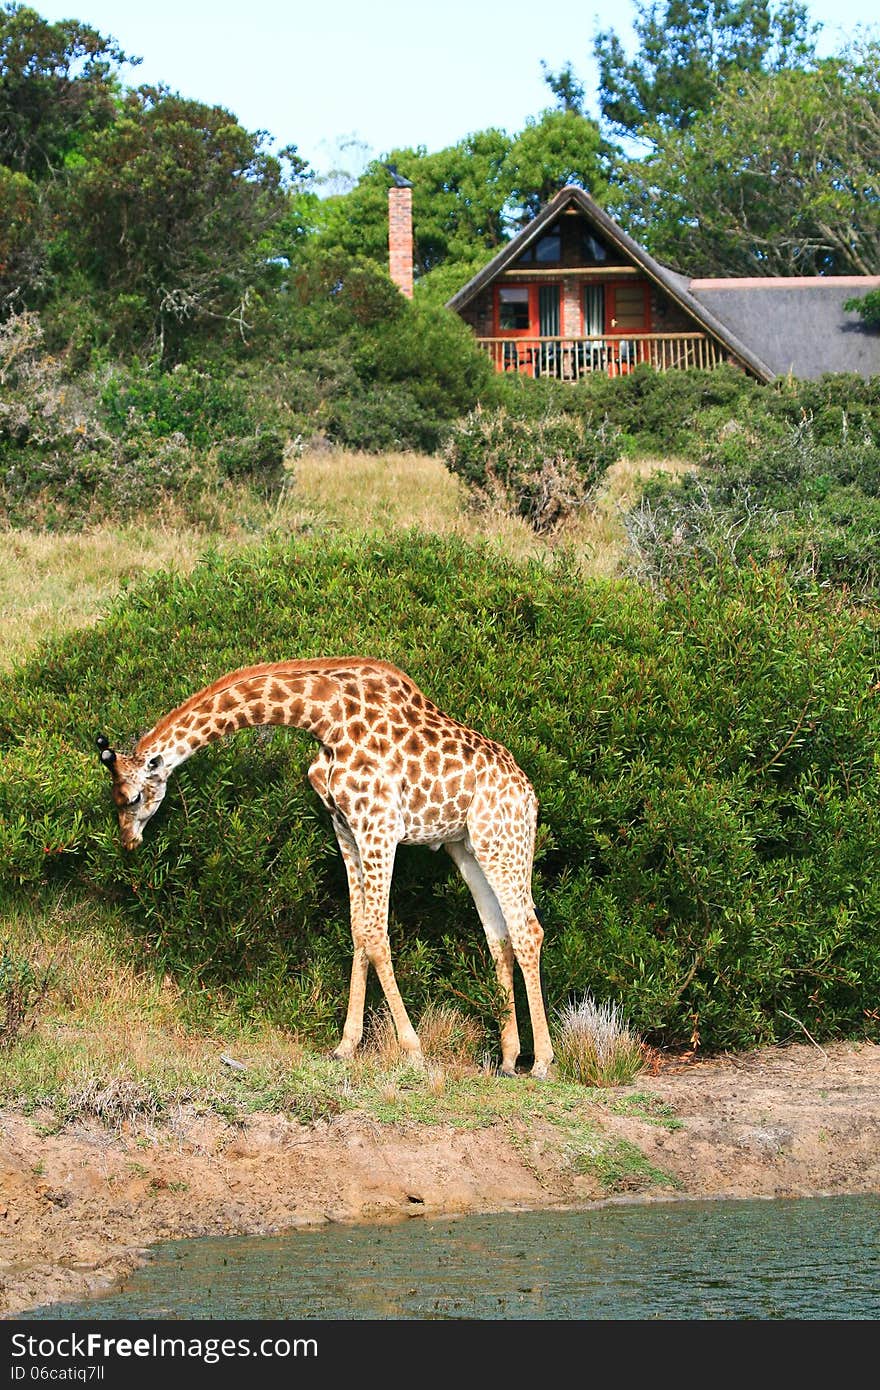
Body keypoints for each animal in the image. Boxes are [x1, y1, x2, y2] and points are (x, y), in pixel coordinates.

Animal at [94, 658, 550, 1073]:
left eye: (132, 798)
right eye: (115, 800)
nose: (128, 841)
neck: (324, 719)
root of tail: (530, 796)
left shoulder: (379, 826)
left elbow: (376, 933)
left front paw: (412, 1049)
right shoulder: (346, 828)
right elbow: (359, 931)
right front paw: (346, 1046)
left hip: (502, 841)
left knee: (528, 930)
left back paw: (542, 1062)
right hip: (469, 848)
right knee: (499, 936)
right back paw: (509, 1058)